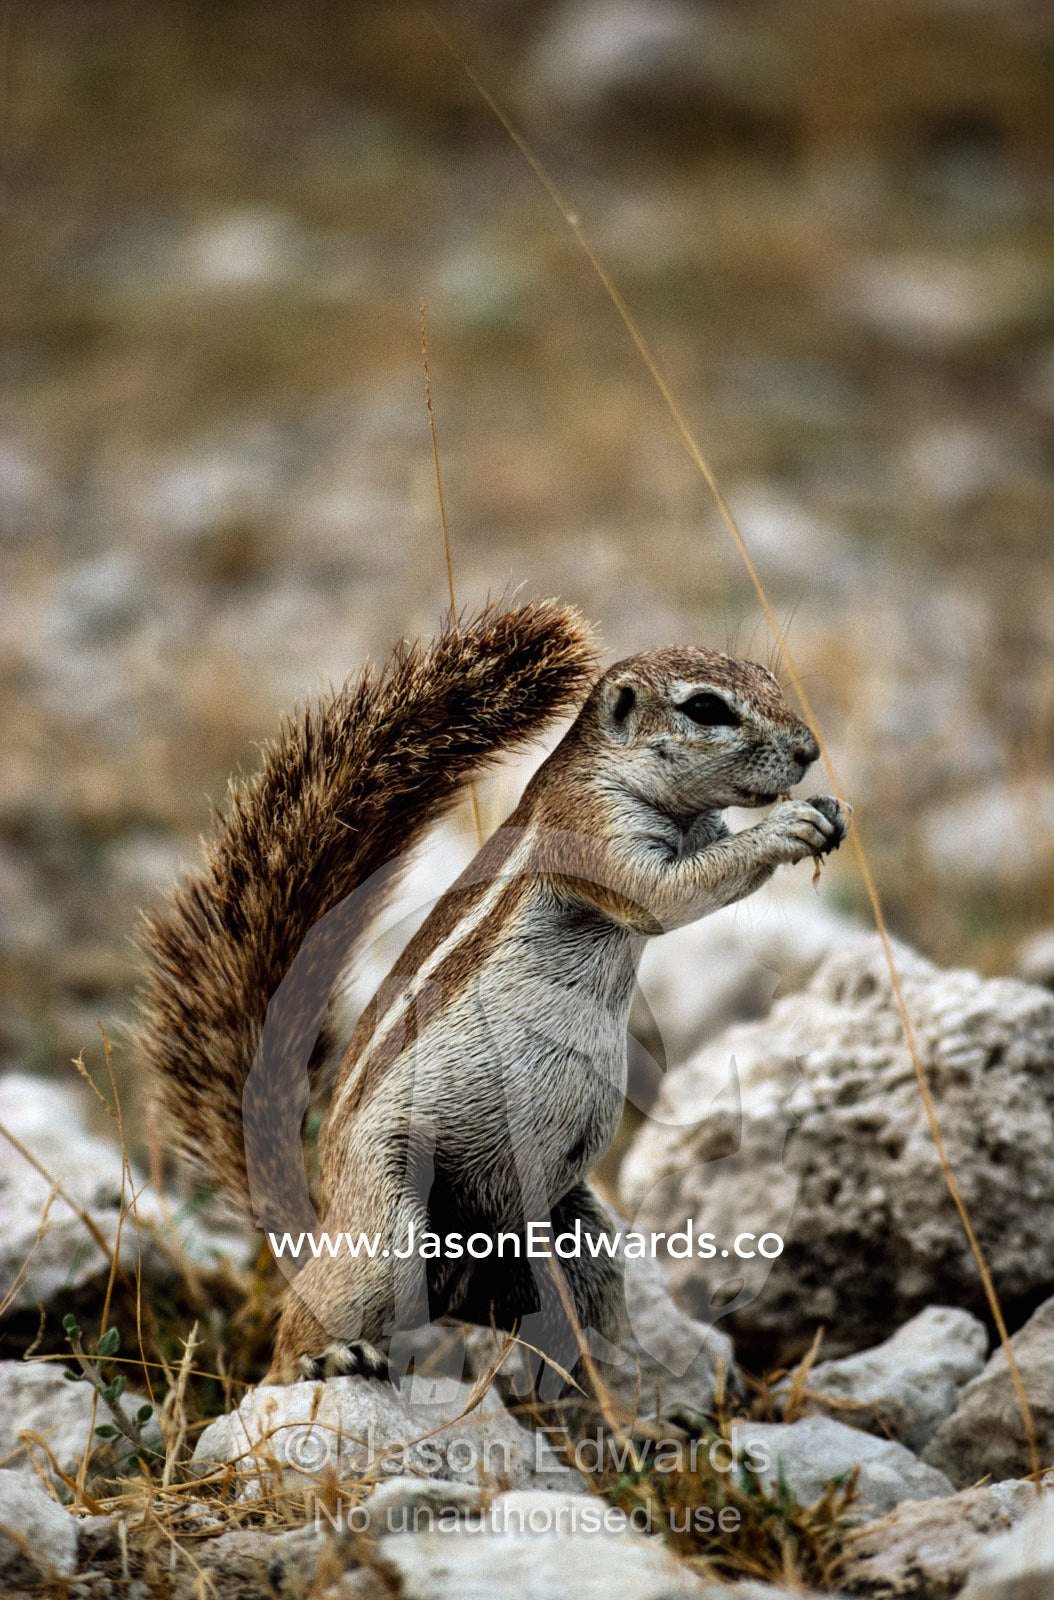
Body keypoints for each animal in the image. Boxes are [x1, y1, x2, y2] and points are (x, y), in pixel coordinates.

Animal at [138, 598, 848, 1389]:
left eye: (766, 676)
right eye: (705, 708)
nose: (809, 750)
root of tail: (319, 1220)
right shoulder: (590, 828)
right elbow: (666, 895)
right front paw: (788, 826)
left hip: (572, 1230)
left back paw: (626, 1385)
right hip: (388, 1220)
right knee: (299, 1331)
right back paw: (328, 1358)